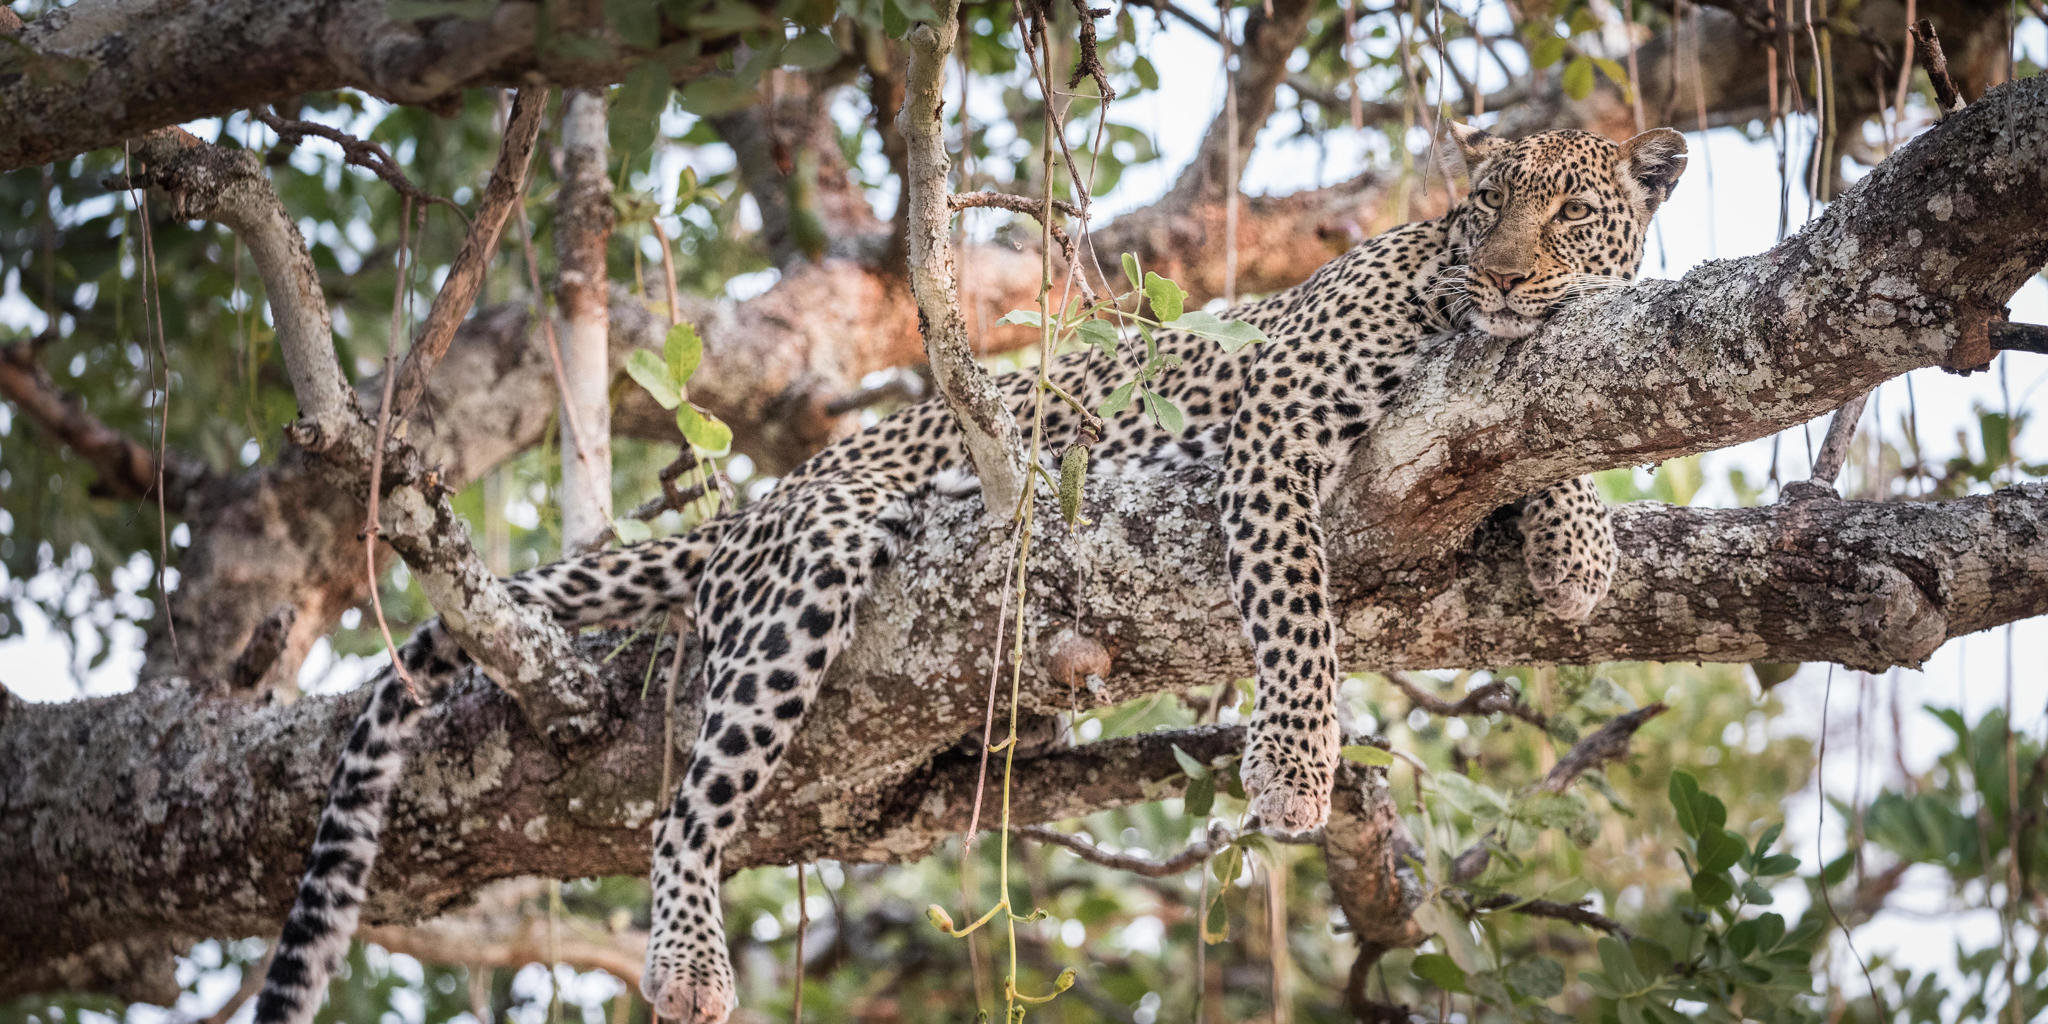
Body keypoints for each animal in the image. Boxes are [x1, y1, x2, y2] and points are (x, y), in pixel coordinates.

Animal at [256, 121, 1687, 1024]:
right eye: (1484, 204)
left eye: (1567, 211)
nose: (1500, 268)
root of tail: (769, 496)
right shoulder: (1277, 420)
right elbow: (1294, 605)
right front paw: (1293, 764)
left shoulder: (1512, 393)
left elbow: (1550, 427)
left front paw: (1573, 544)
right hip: (811, 565)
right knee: (683, 810)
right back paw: (688, 962)